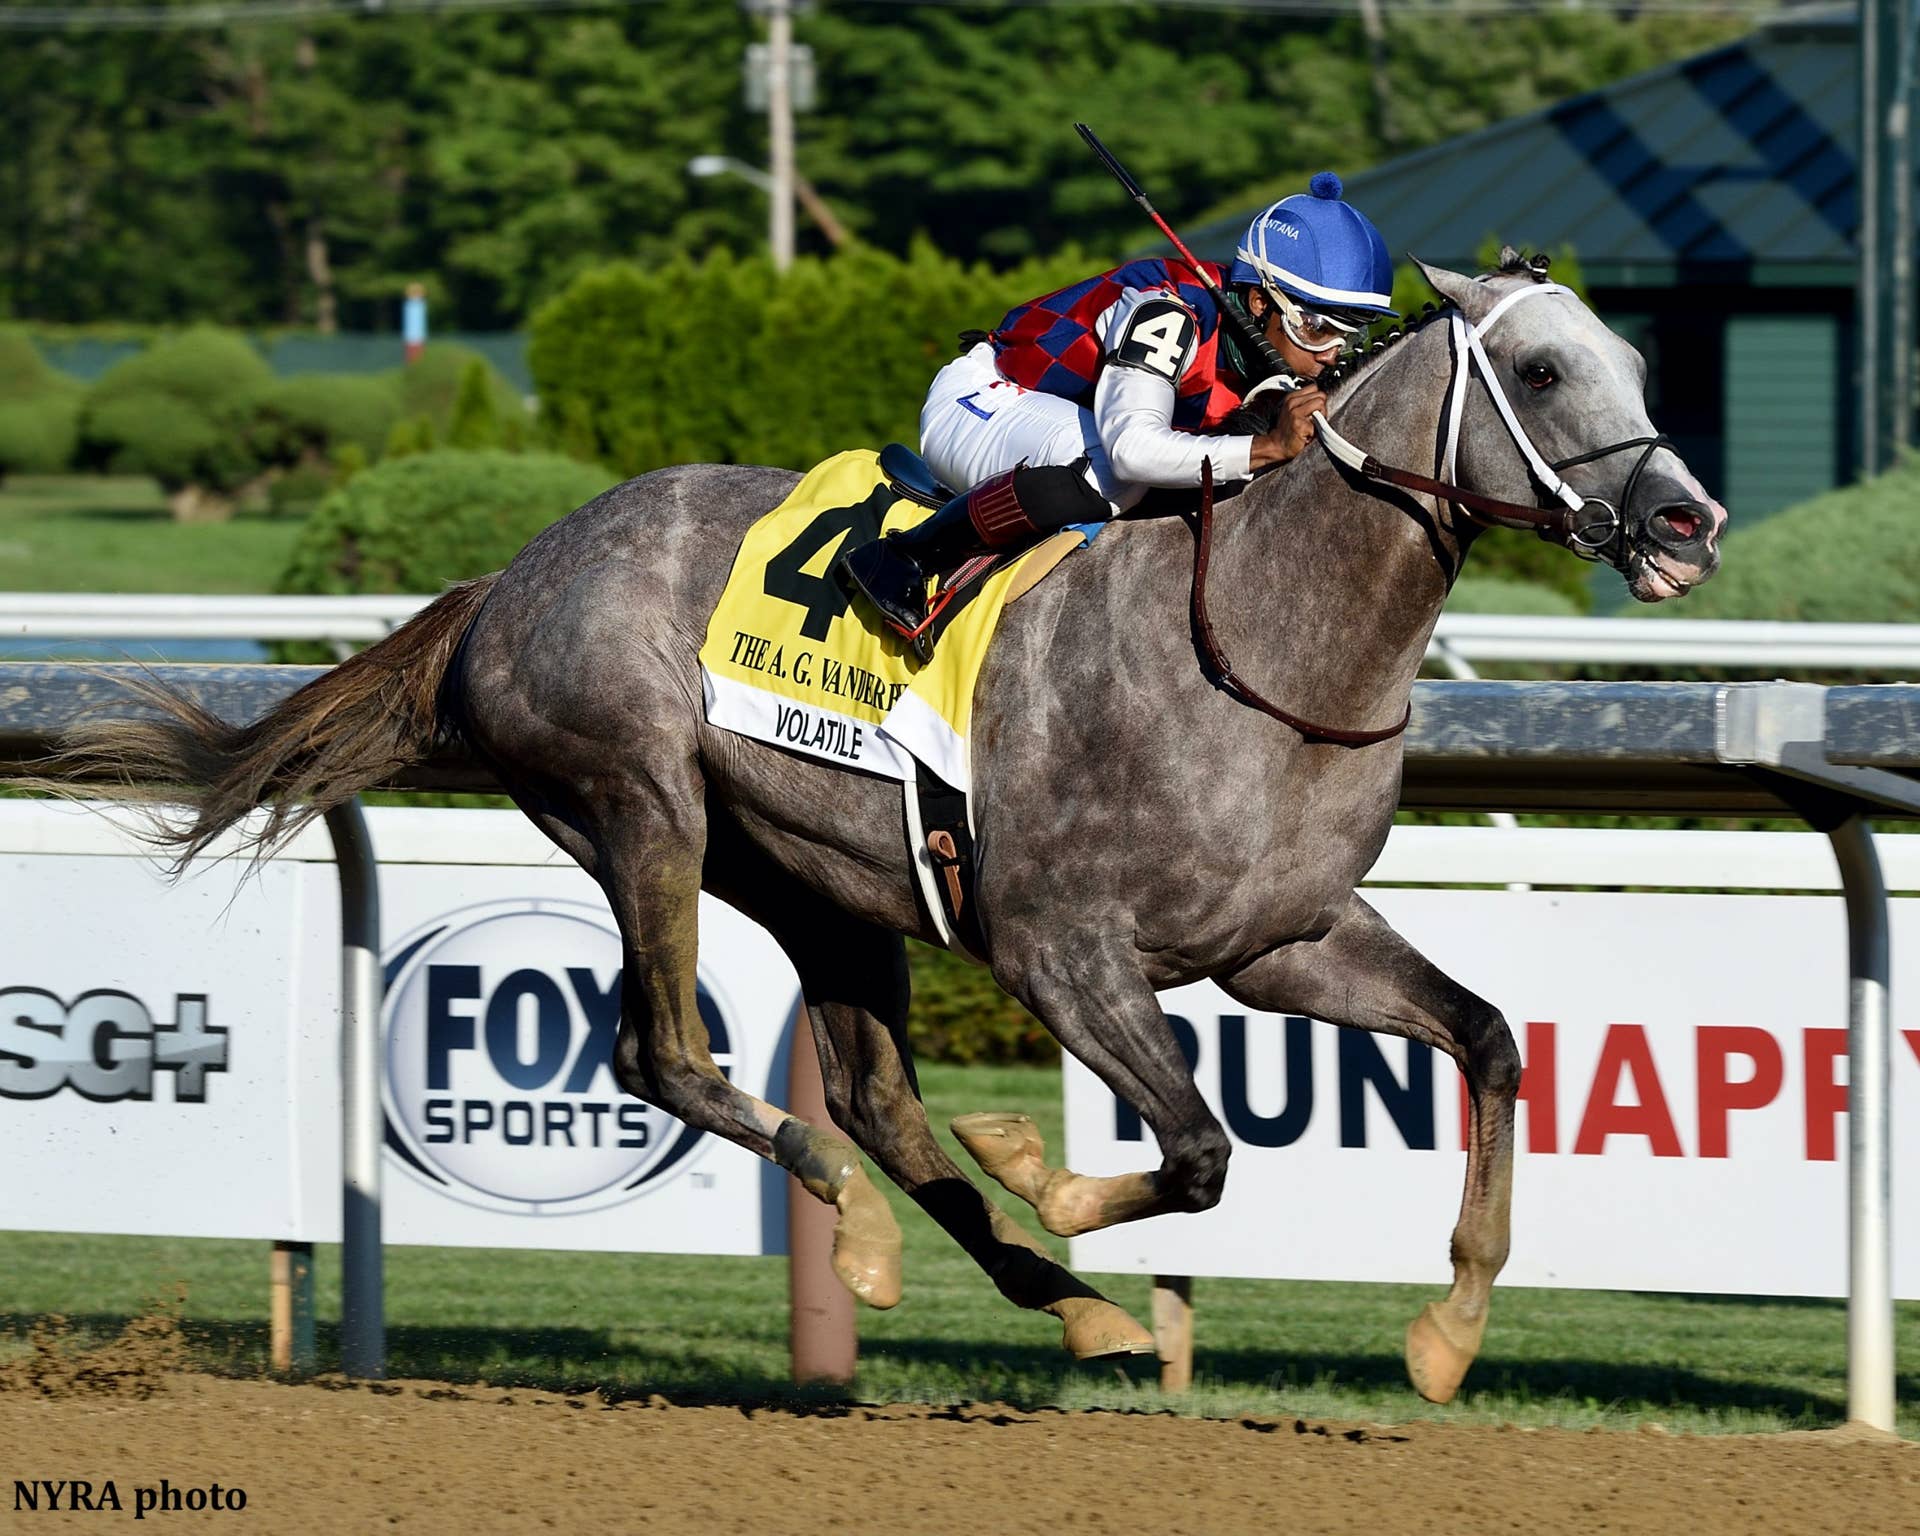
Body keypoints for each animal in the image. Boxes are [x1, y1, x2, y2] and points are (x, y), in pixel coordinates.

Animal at [47, 258, 1724, 1404]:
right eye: (1546, 371)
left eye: (1633, 360)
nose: (1687, 524)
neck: (1261, 646)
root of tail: (508, 579)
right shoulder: (1057, 947)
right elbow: (1194, 1151)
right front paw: (1047, 1169)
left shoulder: (1284, 942)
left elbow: (1487, 1041)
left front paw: (1446, 1335)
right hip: (642, 805)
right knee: (673, 1056)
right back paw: (856, 1215)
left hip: (820, 881)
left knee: (871, 1095)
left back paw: (1037, 1290)